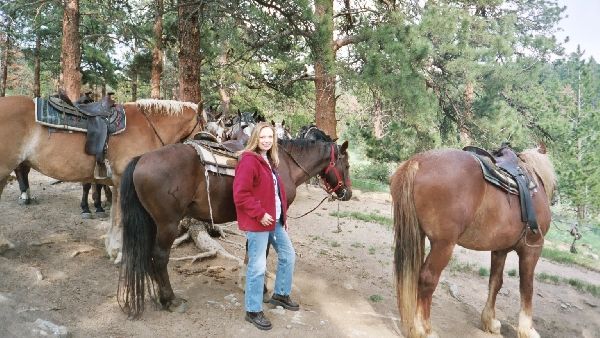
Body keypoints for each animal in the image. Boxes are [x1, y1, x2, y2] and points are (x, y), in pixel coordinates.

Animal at [0, 96, 204, 260]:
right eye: (204, 128)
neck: (147, 126)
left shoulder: (115, 184)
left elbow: (114, 216)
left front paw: (112, 248)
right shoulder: (122, 181)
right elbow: (121, 218)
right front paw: (119, 252)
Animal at [117, 137, 352, 316]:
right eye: (347, 166)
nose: (347, 193)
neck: (283, 164)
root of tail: (141, 159)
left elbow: (251, 252)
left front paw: (246, 282)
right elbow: (262, 253)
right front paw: (260, 288)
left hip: (152, 223)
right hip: (167, 224)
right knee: (159, 258)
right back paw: (170, 300)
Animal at [392, 145, 556, 338]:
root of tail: (419, 161)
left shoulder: (500, 250)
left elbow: (496, 282)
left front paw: (490, 321)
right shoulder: (532, 248)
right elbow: (527, 287)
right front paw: (527, 329)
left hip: (416, 234)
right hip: (443, 245)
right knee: (427, 279)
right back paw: (423, 330)